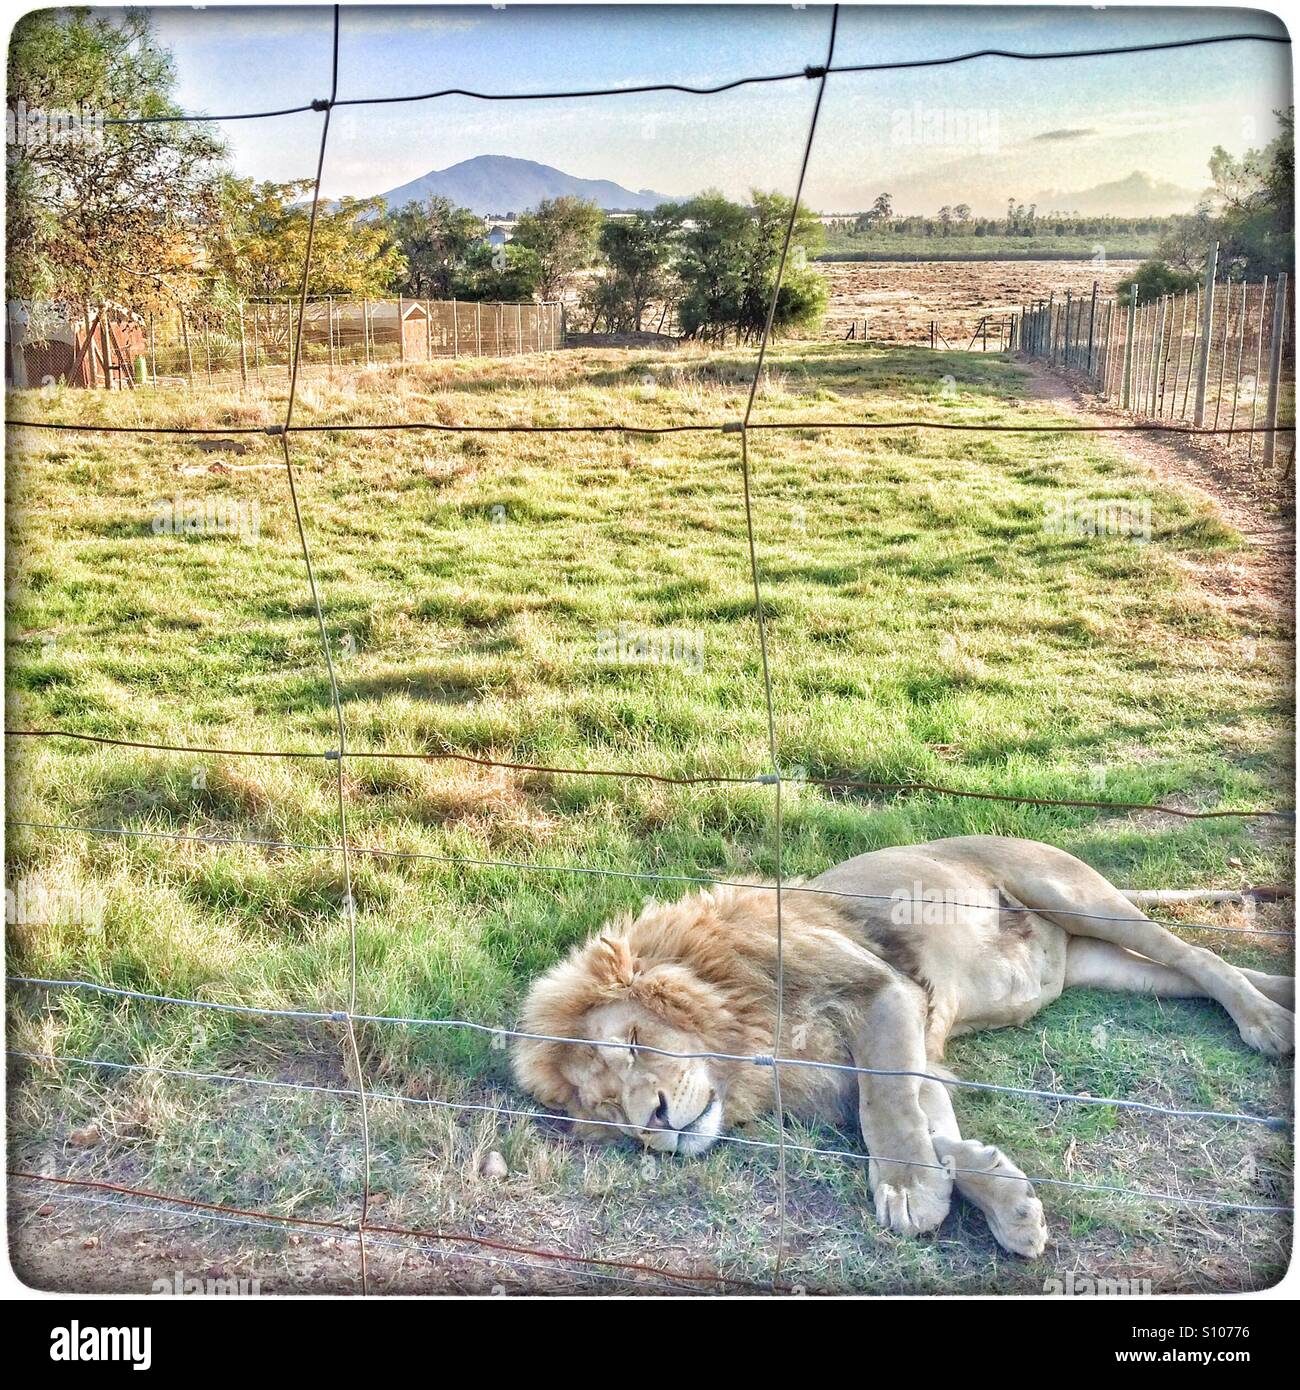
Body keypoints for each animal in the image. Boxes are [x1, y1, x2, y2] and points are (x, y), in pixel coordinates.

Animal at [513, 835, 1294, 1257]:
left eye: (634, 1044)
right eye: (606, 1111)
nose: (652, 1126)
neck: (750, 1037)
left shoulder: (882, 992)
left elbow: (887, 1107)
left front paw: (908, 1192)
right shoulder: (892, 1046)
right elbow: (928, 1119)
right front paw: (1005, 1201)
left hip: (1075, 894)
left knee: (1199, 954)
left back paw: (1268, 1025)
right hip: (1103, 964)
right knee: (1190, 971)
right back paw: (1283, 994)